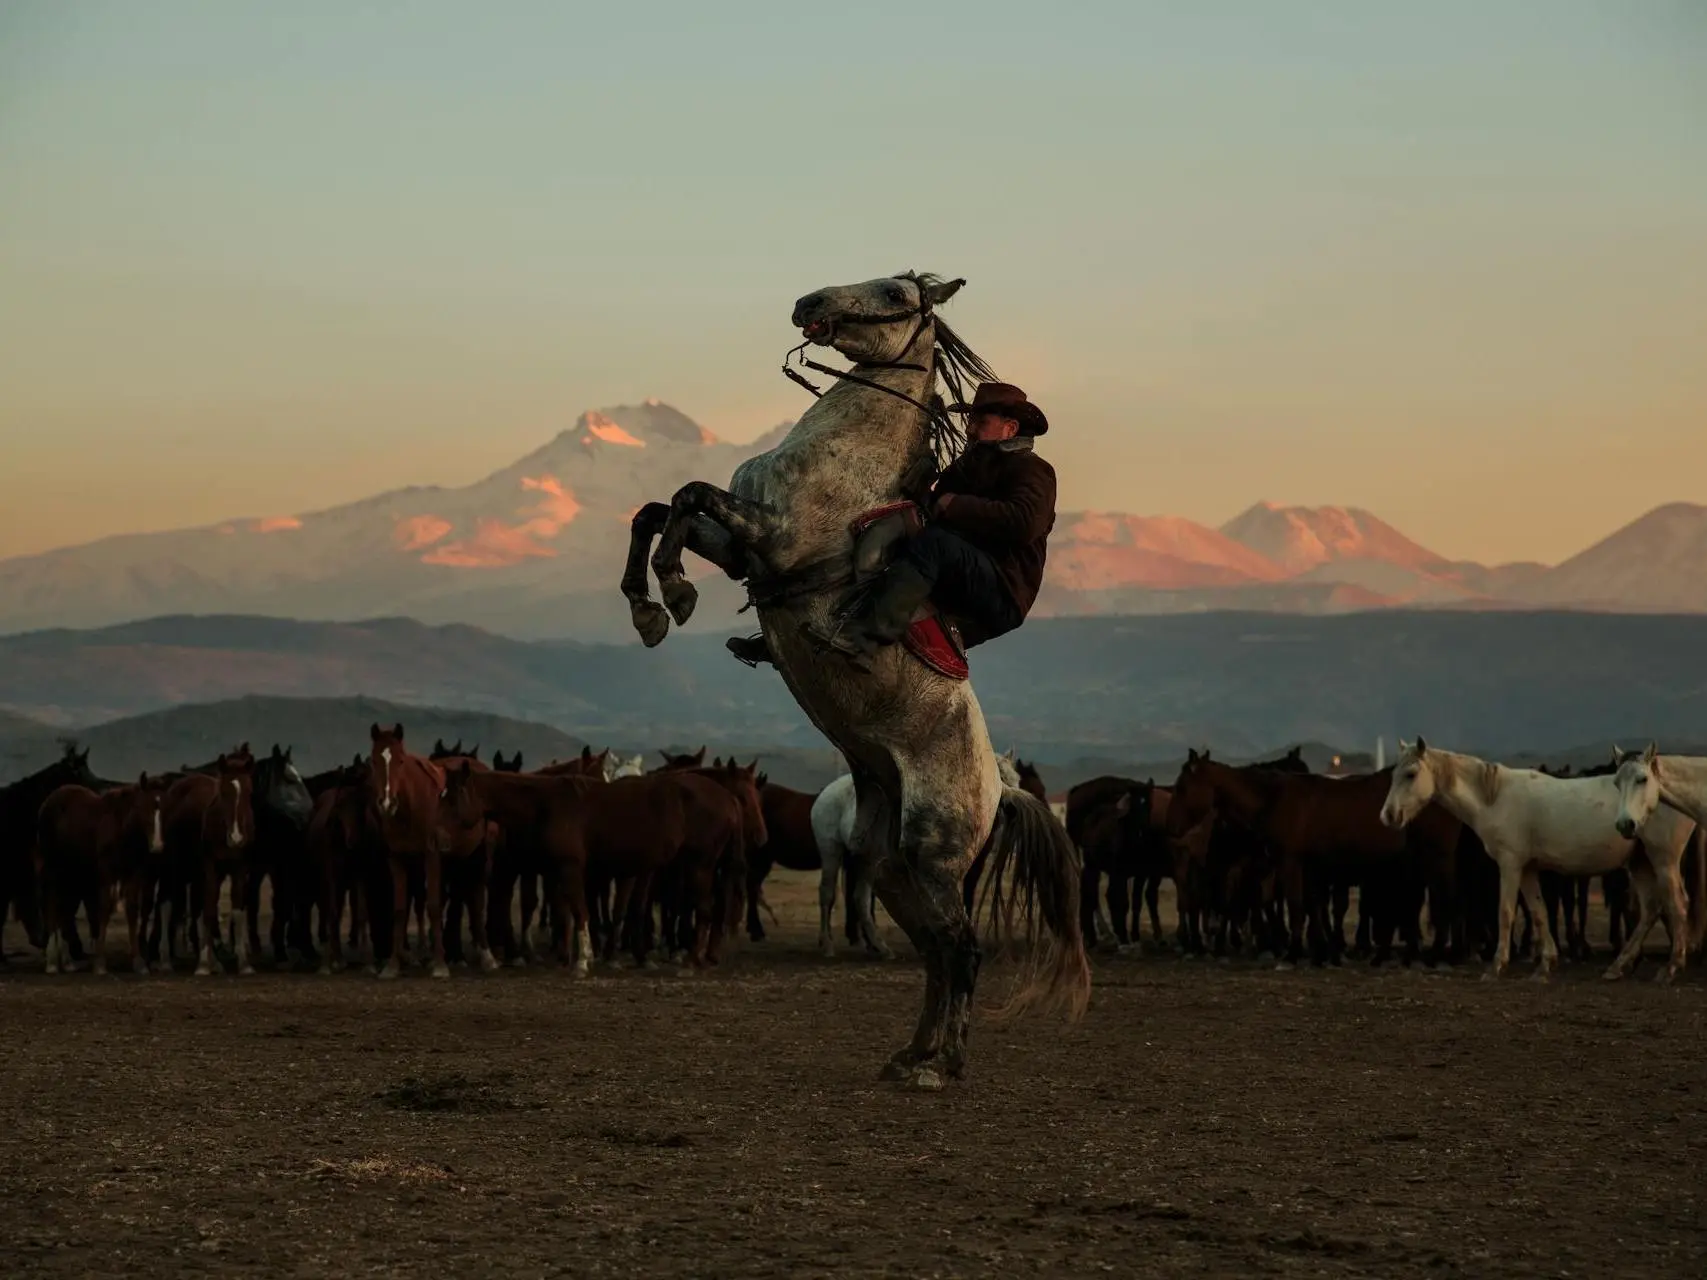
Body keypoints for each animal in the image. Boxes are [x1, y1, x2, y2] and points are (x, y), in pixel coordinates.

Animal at [35, 778, 173, 976]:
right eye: (144, 808)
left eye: (166, 809)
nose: (157, 845)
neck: (121, 830)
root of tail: (47, 803)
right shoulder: (106, 875)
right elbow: (104, 909)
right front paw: (100, 963)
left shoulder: (132, 875)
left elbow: (132, 910)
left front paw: (138, 962)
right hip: (54, 869)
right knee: (52, 903)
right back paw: (53, 963)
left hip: (71, 873)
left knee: (65, 909)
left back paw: (68, 963)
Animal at [809, 750, 1017, 962]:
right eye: (1000, 776)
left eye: (1017, 778)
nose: (1012, 810)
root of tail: (825, 794)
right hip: (831, 852)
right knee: (827, 893)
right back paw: (828, 945)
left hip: (866, 861)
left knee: (860, 899)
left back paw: (879, 947)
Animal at [1379, 740, 1700, 983]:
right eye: (1393, 775)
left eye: (1410, 774)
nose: (1388, 816)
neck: (1495, 797)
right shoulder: (1528, 869)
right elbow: (1539, 912)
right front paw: (1545, 965)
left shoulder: (1510, 865)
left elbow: (1506, 911)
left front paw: (1497, 967)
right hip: (1640, 863)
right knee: (1651, 910)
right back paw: (1617, 967)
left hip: (1663, 860)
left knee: (1677, 905)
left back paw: (1671, 968)